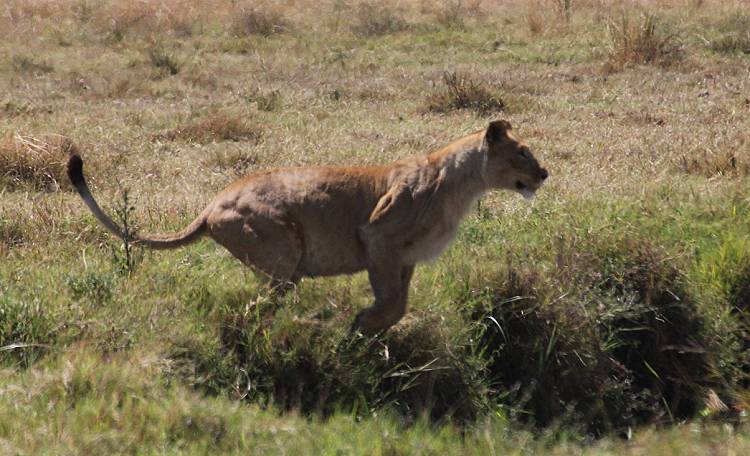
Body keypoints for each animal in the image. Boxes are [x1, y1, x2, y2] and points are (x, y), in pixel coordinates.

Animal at [69, 120, 548, 334]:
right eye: (522, 152)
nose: (544, 173)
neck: (462, 186)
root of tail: (211, 206)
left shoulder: (406, 258)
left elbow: (400, 303)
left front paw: (370, 330)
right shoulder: (377, 237)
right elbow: (389, 299)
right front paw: (362, 325)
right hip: (282, 250)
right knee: (259, 305)